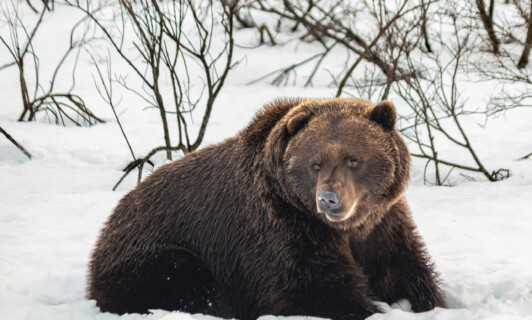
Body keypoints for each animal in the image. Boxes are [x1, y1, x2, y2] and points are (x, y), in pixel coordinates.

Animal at [89, 99, 446, 318]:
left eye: (353, 159)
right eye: (315, 163)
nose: (329, 199)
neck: (345, 228)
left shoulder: (382, 224)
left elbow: (407, 270)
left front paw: (428, 303)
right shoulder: (281, 227)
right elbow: (312, 288)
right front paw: (367, 307)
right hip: (155, 254)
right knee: (192, 285)